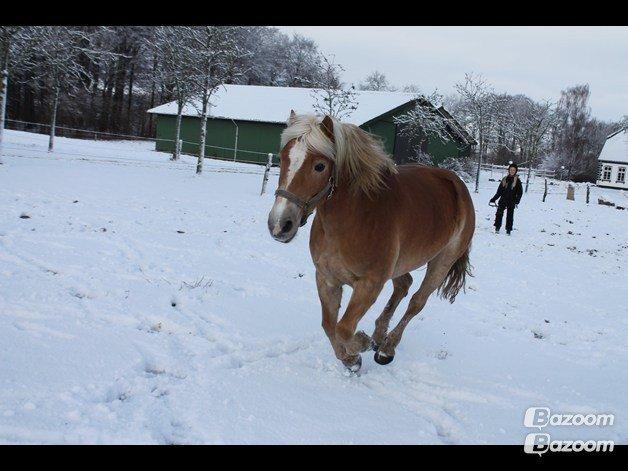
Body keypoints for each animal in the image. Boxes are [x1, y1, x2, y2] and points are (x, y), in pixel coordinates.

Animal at [266, 111, 476, 372]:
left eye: (319, 166)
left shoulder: (369, 284)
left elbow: (344, 328)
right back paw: (378, 336)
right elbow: (329, 325)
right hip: (401, 263)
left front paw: (360, 345)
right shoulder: (327, 279)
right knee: (403, 285)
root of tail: (457, 183)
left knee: (416, 302)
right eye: (282, 158)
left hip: (442, 262)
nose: (280, 225)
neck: (354, 216)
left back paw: (386, 348)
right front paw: (350, 359)